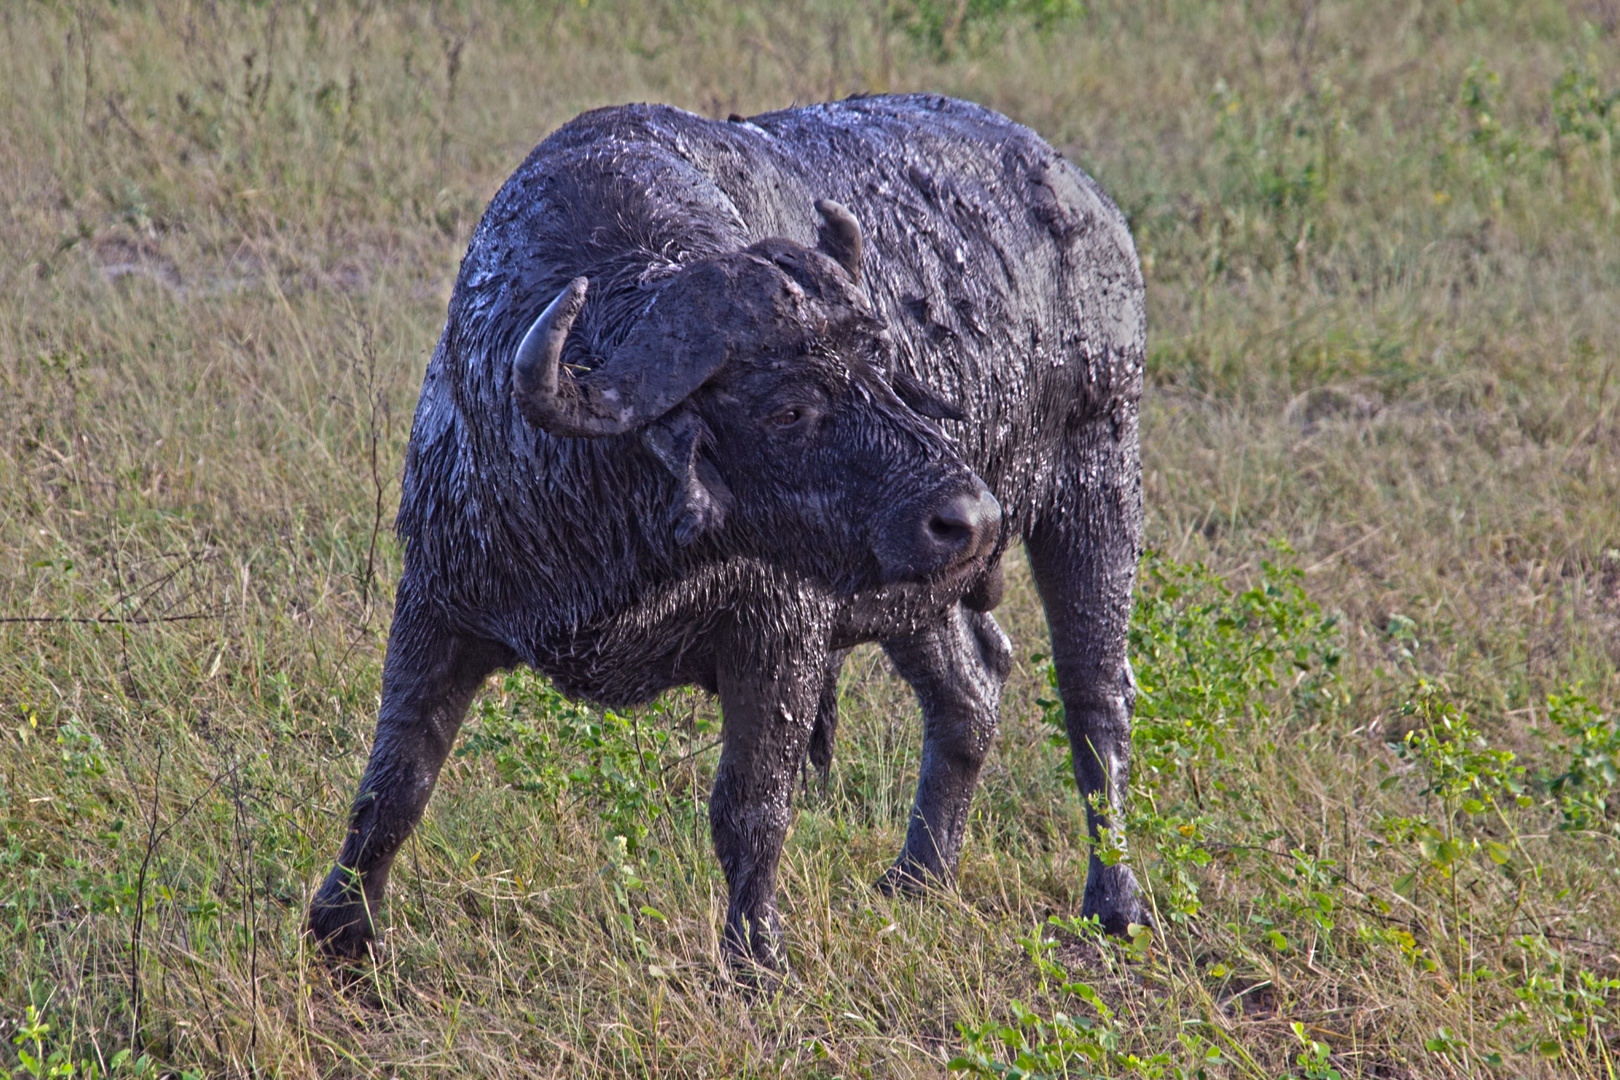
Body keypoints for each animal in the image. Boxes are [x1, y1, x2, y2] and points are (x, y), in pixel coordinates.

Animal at [309, 93, 1146, 971]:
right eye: (789, 408)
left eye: (888, 375)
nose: (973, 518)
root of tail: (1084, 198)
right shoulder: (437, 605)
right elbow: (396, 779)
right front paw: (341, 928)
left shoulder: (780, 635)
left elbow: (753, 809)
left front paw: (755, 958)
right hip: (917, 590)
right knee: (972, 692)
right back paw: (918, 877)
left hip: (1100, 474)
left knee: (1096, 697)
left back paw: (1114, 900)